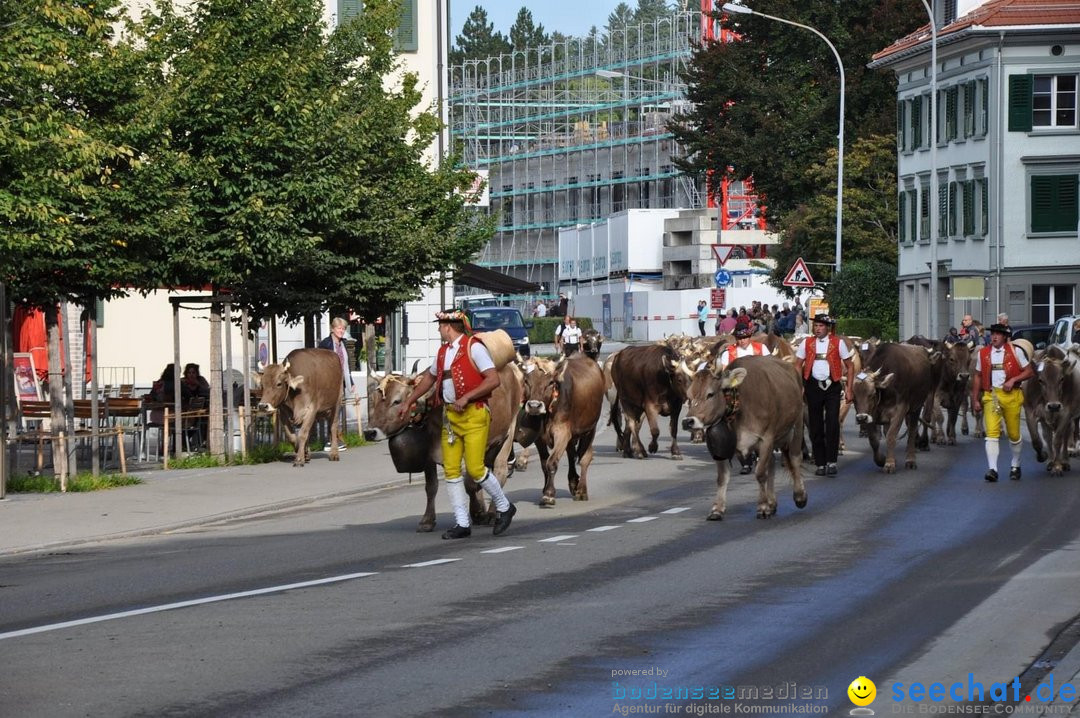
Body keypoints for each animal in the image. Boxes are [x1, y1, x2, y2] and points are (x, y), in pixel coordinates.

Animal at [516, 354, 609, 503]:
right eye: (526, 380)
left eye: (550, 382)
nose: (534, 406)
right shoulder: (539, 438)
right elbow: (544, 464)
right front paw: (545, 489)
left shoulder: (562, 433)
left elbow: (552, 462)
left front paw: (549, 494)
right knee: (571, 454)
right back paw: (573, 482)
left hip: (590, 429)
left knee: (585, 458)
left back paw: (581, 490)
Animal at [678, 354, 807, 518]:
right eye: (689, 395)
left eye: (710, 394)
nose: (687, 422)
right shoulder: (721, 446)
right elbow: (722, 478)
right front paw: (717, 508)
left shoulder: (766, 439)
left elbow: (760, 473)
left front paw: (762, 506)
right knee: (771, 463)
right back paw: (772, 503)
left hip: (797, 426)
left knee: (795, 459)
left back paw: (800, 496)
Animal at [851, 341, 937, 470]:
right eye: (854, 396)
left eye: (872, 394)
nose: (861, 418)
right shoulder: (871, 415)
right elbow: (874, 440)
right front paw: (882, 460)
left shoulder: (900, 409)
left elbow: (891, 436)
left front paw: (890, 463)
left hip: (916, 407)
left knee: (912, 432)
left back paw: (911, 460)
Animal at [1019, 347, 1080, 475]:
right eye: (1040, 380)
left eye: (1062, 379)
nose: (1054, 406)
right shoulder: (1030, 413)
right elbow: (1036, 440)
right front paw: (1043, 457)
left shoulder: (1065, 414)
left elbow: (1057, 441)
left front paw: (1057, 467)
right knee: (1047, 436)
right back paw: (1051, 461)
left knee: (1065, 436)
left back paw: (1064, 461)